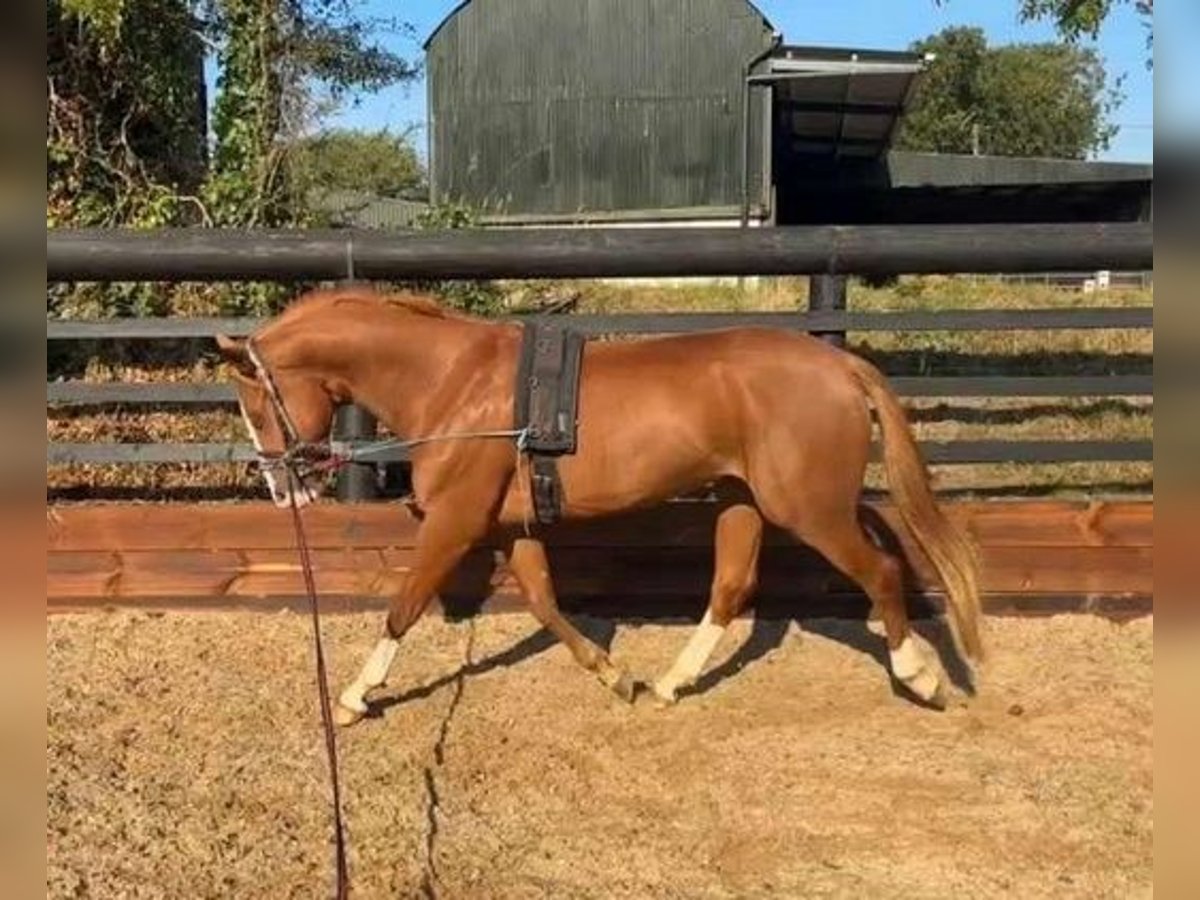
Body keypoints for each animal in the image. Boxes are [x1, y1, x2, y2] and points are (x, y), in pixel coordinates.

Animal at [218, 289, 984, 724]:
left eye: (255, 404)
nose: (283, 488)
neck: (453, 383)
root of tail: (839, 366)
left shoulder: (456, 522)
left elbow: (403, 606)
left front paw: (352, 698)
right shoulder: (512, 525)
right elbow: (545, 603)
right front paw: (615, 677)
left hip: (810, 508)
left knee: (882, 573)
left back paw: (921, 677)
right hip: (741, 499)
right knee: (731, 588)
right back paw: (670, 684)